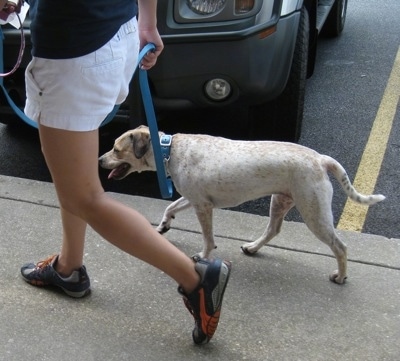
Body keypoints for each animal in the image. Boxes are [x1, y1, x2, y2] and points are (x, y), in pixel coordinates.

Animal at [99, 126, 384, 284]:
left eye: (116, 149)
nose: (99, 160)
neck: (168, 150)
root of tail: (321, 159)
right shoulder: (193, 199)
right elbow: (170, 208)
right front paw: (164, 226)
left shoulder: (203, 206)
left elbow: (208, 238)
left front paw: (204, 256)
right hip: (280, 202)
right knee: (273, 230)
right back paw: (253, 247)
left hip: (314, 213)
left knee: (340, 247)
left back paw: (341, 277)